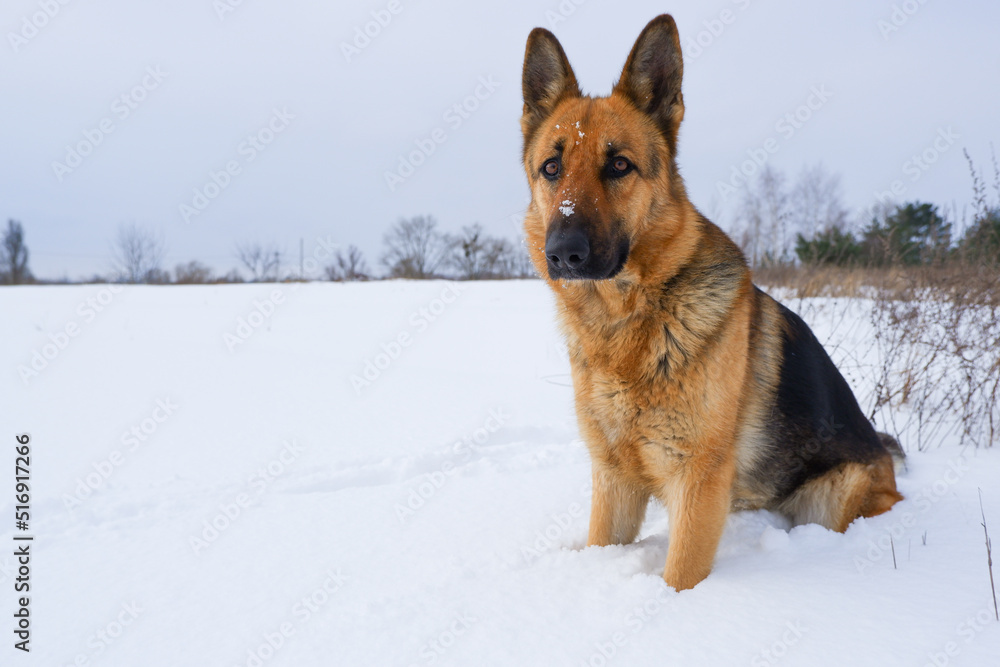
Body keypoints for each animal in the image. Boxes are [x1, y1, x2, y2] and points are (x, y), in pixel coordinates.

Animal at [520, 14, 904, 588]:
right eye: (551, 168)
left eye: (619, 166)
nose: (564, 253)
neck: (629, 322)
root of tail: (886, 462)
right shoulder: (613, 480)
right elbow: (602, 542)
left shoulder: (698, 482)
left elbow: (680, 576)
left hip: (837, 491)